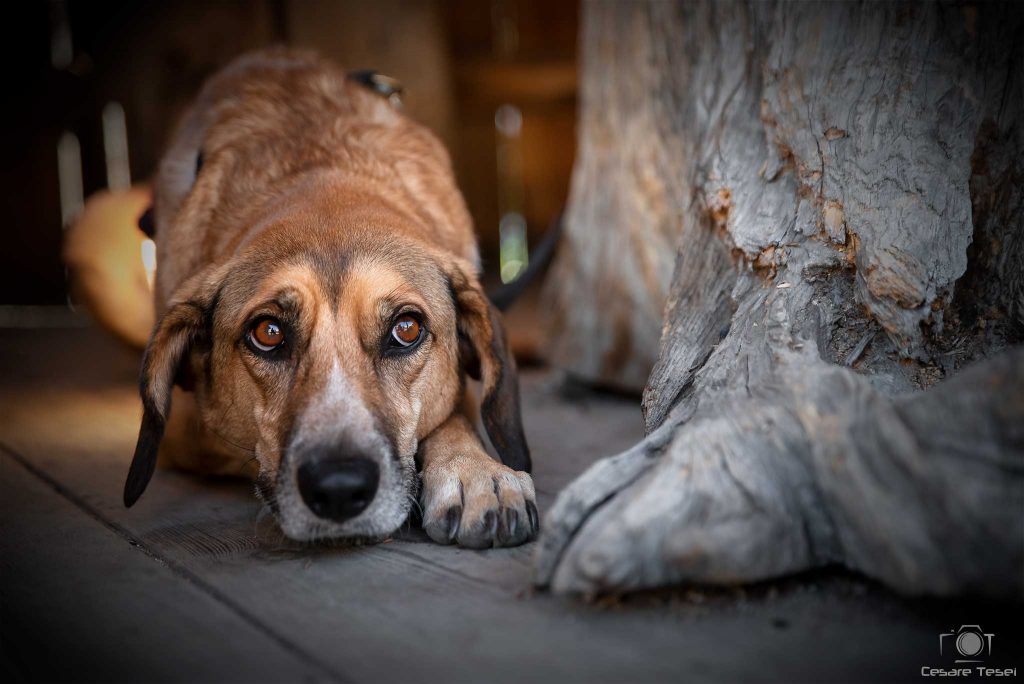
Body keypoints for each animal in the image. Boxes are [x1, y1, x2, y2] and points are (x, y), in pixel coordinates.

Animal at [124, 49, 540, 548]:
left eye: (407, 329)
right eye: (267, 332)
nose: (340, 489)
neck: (321, 170)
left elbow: (454, 411)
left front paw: (476, 472)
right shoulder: (188, 428)